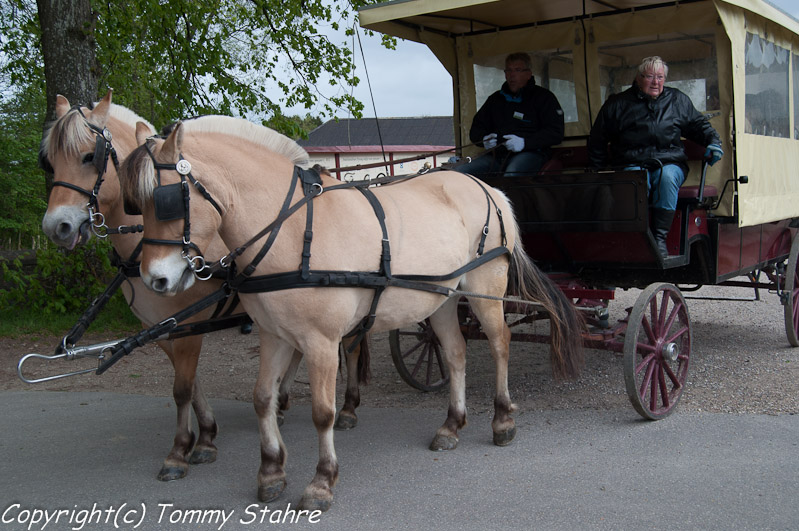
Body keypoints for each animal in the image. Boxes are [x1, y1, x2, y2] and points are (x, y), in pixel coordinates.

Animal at [38, 93, 368, 484]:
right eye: (49, 162)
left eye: (89, 156)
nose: (56, 226)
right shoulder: (161, 329)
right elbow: (191, 384)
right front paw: (207, 435)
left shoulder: (189, 327)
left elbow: (182, 389)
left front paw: (180, 450)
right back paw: (282, 401)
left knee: (350, 345)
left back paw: (347, 407)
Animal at [117, 117, 580, 512]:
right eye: (135, 203)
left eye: (168, 200)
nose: (156, 279)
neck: (291, 229)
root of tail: (485, 187)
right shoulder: (273, 335)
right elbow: (263, 397)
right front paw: (271, 471)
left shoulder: (320, 341)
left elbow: (323, 412)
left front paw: (321, 482)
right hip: (442, 298)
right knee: (454, 353)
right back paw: (451, 425)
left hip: (484, 288)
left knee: (500, 343)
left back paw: (502, 420)